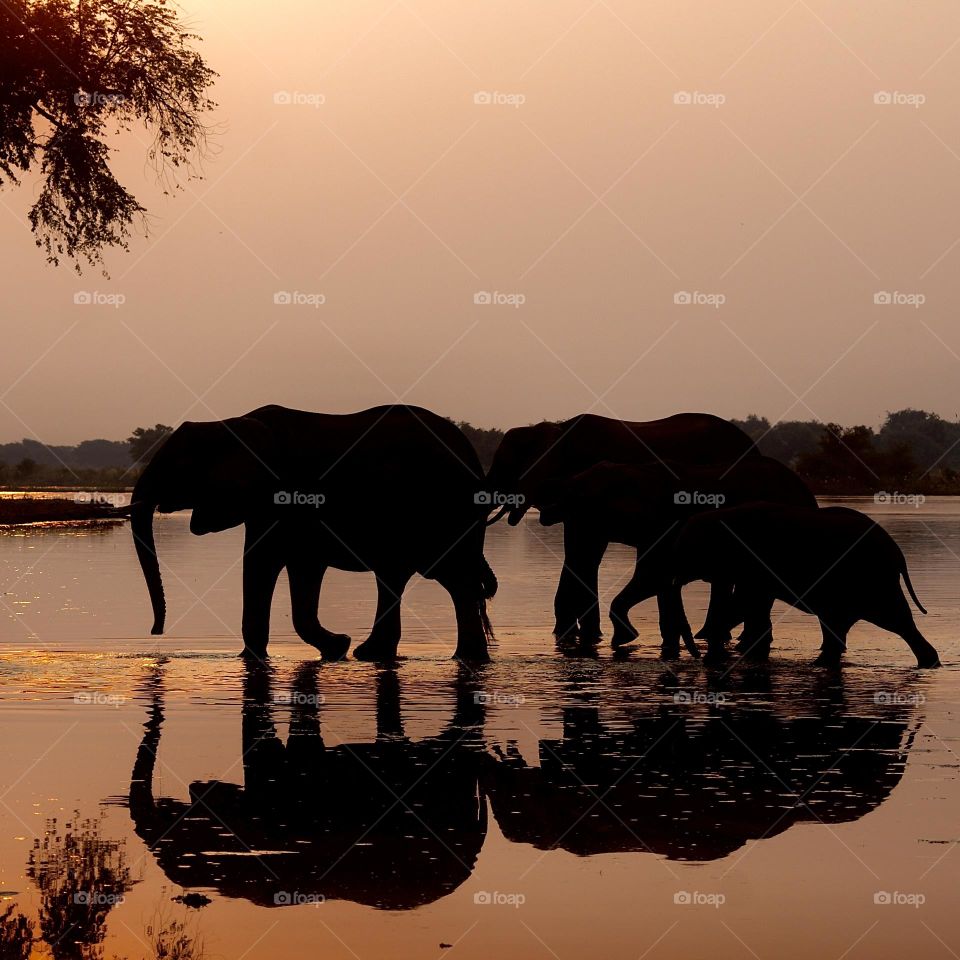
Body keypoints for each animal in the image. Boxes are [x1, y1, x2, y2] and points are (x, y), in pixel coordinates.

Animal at [129, 404, 496, 660]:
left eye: (176, 466)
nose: (156, 631)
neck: (230, 423)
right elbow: (296, 568)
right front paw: (334, 648)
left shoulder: (283, 498)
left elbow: (265, 563)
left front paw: (335, 647)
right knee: (426, 578)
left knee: (441, 577)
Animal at [488, 412, 756, 644]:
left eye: (504, 466)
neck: (557, 429)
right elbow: (579, 553)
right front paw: (575, 633)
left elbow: (584, 552)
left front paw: (586, 635)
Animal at [536, 454, 812, 656]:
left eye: (578, 503)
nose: (544, 516)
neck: (633, 473)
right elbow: (658, 580)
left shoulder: (662, 525)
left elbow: (651, 575)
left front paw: (625, 638)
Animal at [672, 502, 940, 668]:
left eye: (686, 552)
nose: (695, 655)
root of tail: (899, 554)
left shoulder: (756, 562)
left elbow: (745, 603)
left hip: (873, 582)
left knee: (895, 621)